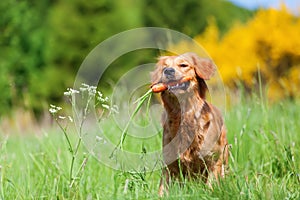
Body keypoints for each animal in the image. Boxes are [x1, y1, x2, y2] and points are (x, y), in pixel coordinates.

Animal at [151, 52, 229, 196]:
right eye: (164, 67)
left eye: (183, 65)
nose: (168, 71)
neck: (184, 115)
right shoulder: (169, 164)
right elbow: (162, 189)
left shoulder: (213, 161)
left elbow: (210, 186)